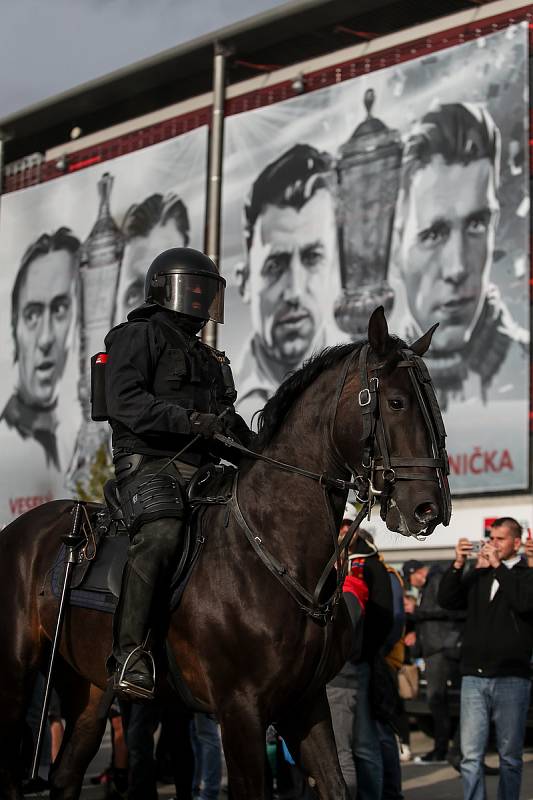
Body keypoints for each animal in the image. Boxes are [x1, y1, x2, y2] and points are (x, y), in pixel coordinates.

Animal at [0, 308, 448, 800]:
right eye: (397, 403)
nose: (428, 509)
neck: (274, 552)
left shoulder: (305, 704)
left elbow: (334, 784)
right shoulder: (240, 713)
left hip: (90, 689)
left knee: (65, 775)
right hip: (17, 677)